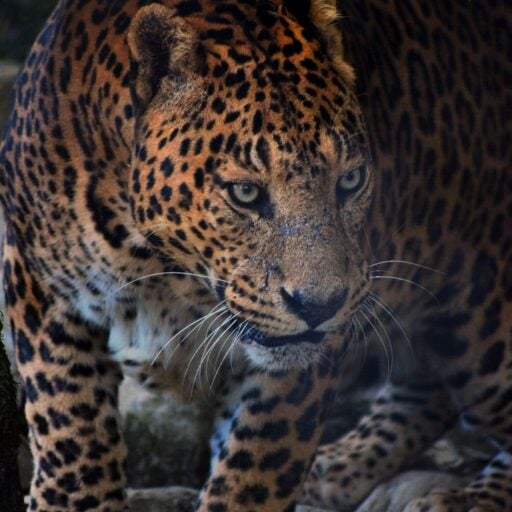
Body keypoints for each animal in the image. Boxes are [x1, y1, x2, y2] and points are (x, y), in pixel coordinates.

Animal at [0, 1, 510, 512]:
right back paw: (336, 468)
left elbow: (253, 473)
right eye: (245, 193)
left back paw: (461, 498)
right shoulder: (36, 284)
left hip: (479, 320)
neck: (156, 266)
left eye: (350, 180)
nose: (320, 307)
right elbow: (69, 428)